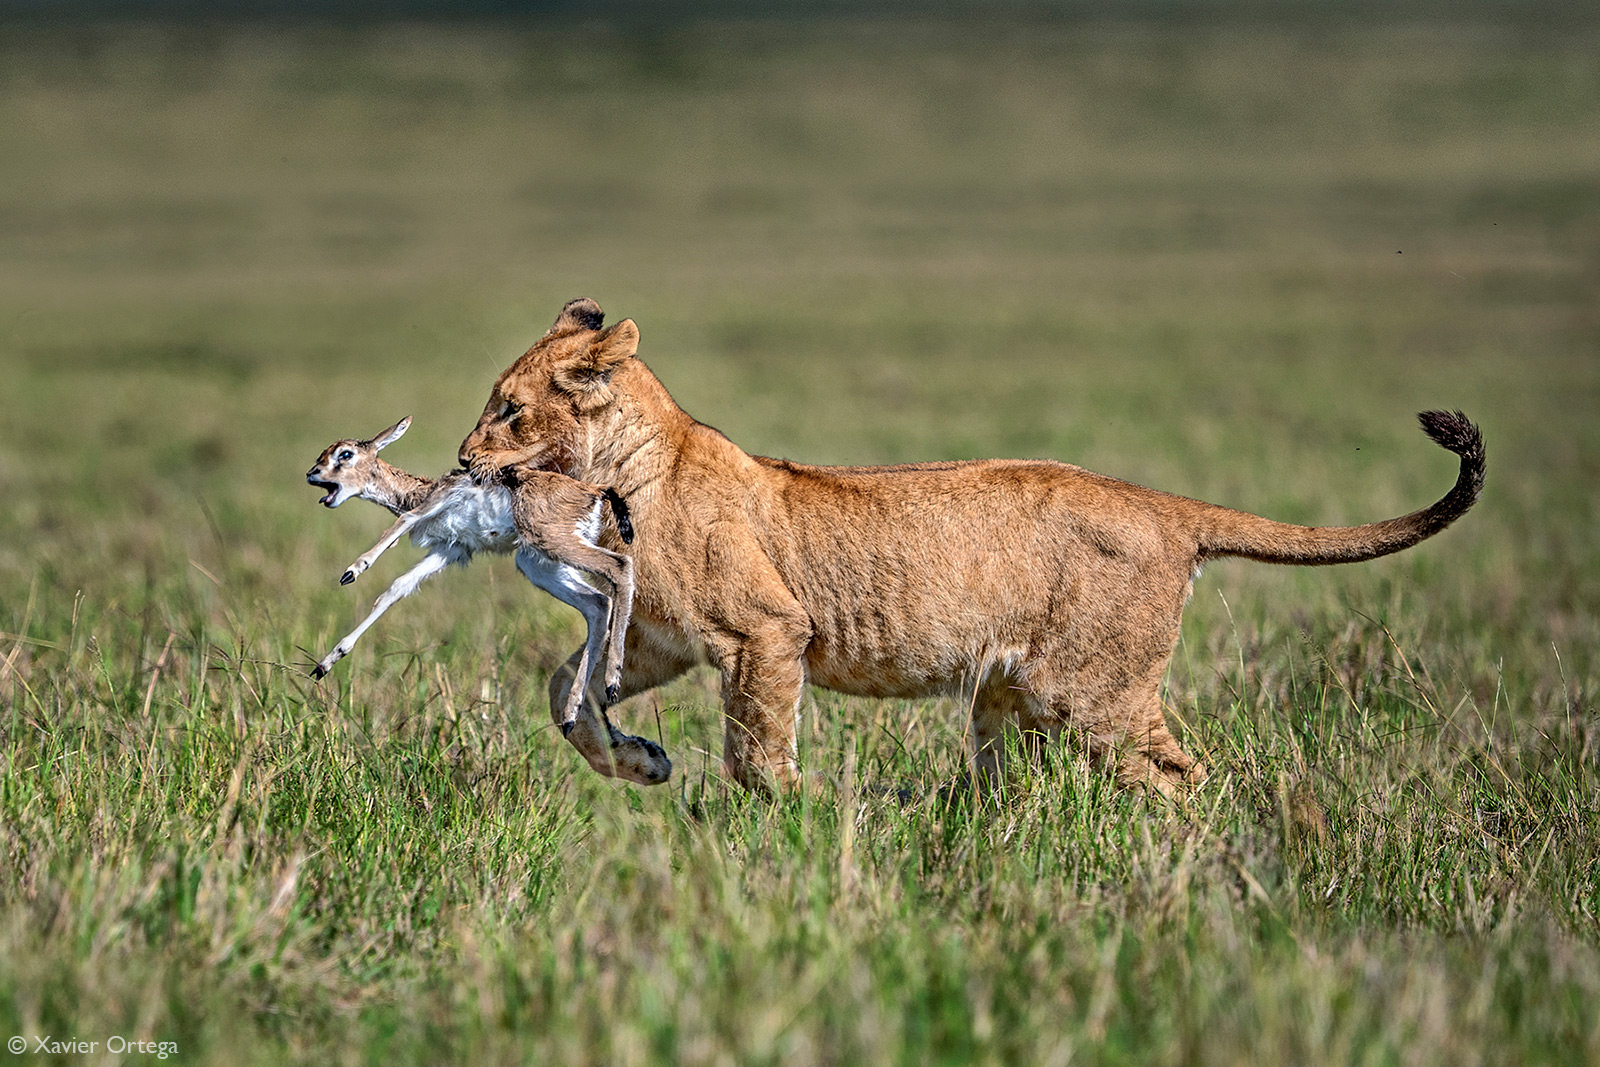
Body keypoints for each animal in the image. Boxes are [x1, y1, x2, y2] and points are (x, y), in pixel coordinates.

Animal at [460, 295, 1484, 796]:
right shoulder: (662, 638)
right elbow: (563, 688)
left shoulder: (766, 631)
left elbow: (756, 750)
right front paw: (638, 762)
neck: (626, 468)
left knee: (1187, 777)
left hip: (1093, 695)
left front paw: (797, 814)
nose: (464, 459)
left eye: (509, 410)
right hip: (1014, 699)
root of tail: (1164, 506)